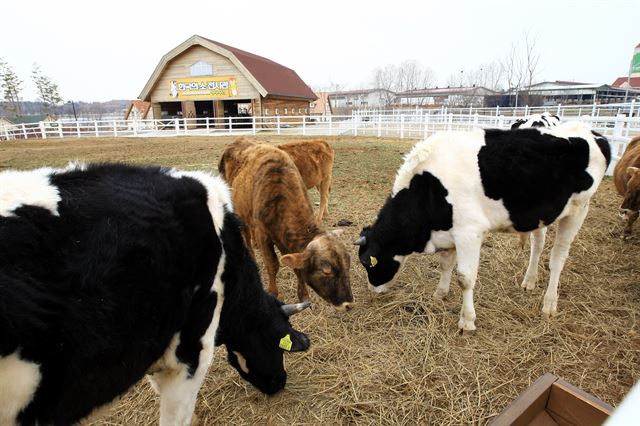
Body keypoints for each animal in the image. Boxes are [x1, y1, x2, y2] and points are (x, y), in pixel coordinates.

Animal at [218, 140, 352, 310]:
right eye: (326, 271)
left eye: (348, 264)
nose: (348, 304)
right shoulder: (263, 235)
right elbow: (273, 264)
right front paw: (273, 292)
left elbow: (296, 267)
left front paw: (304, 295)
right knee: (246, 234)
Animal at [356, 123, 608, 332]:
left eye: (367, 263)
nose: (372, 291)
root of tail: (592, 131)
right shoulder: (450, 231)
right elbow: (446, 264)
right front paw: (440, 293)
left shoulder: (469, 232)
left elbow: (465, 278)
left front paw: (467, 321)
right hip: (542, 216)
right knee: (538, 245)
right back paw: (530, 281)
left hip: (579, 210)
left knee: (558, 258)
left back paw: (549, 303)